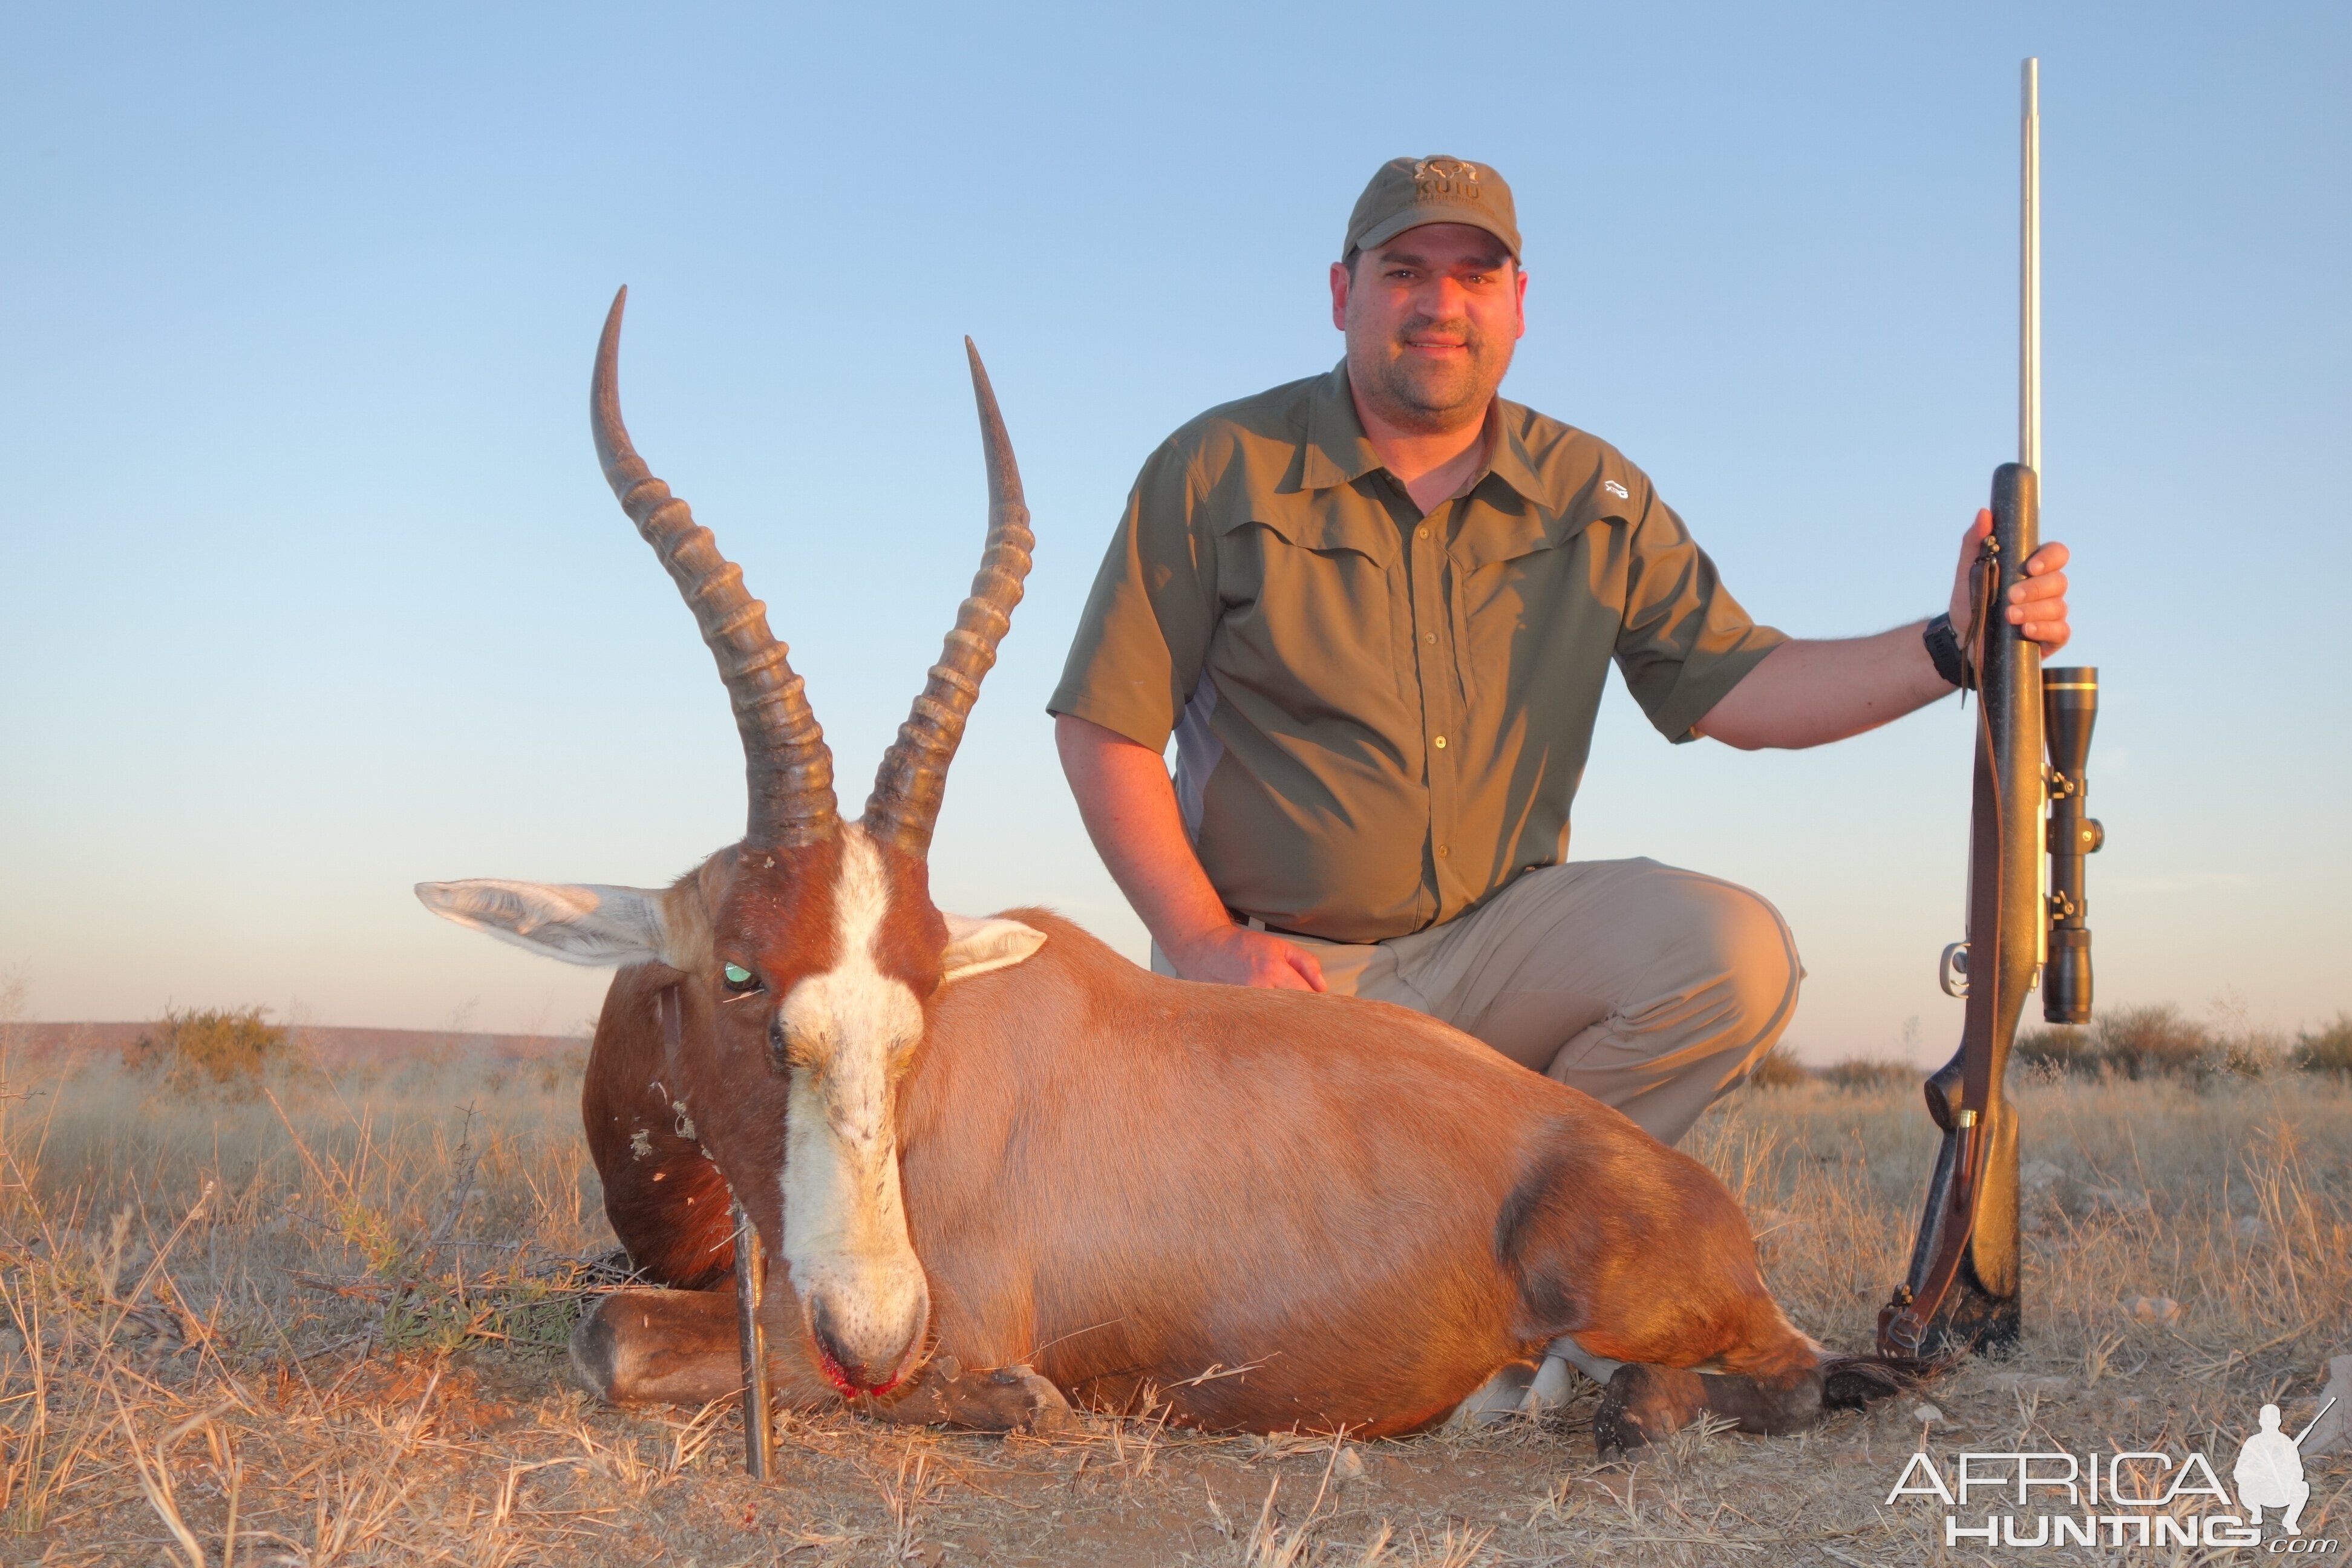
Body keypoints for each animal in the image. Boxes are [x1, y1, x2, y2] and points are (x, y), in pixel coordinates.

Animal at [419, 288, 1910, 1457]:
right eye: (742, 970)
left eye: (924, 988)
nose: (878, 1331)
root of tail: (1697, 1201)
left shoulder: (908, 1311)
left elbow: (605, 1338)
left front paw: (1015, 1400)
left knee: (1784, 1378)